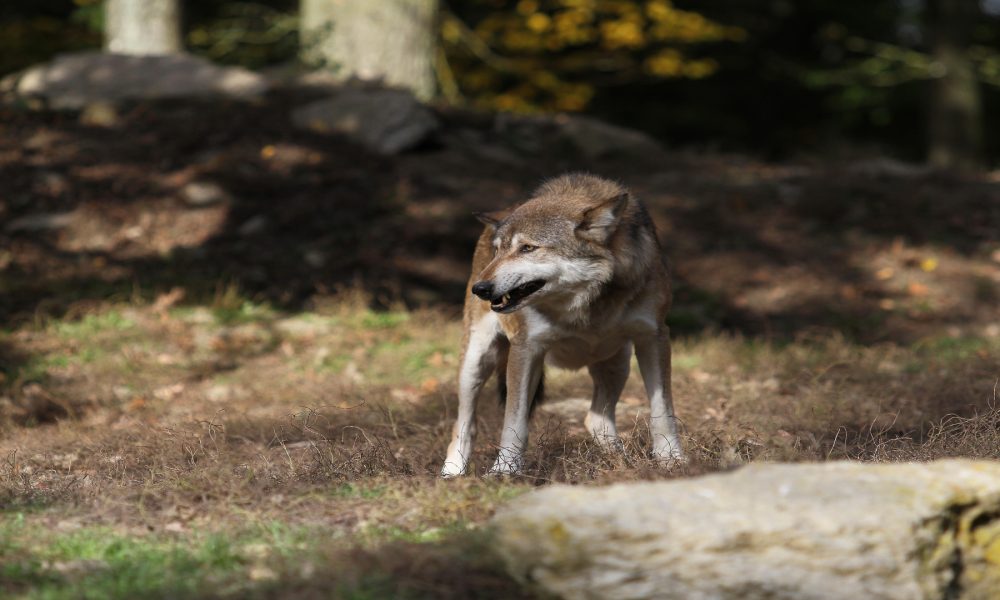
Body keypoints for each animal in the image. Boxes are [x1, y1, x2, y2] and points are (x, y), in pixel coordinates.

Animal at [440, 173, 684, 476]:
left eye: (528, 248)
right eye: (498, 251)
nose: (480, 289)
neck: (583, 304)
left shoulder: (654, 337)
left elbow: (662, 412)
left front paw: (672, 461)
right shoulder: (527, 348)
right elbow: (514, 423)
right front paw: (504, 471)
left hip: (617, 362)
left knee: (595, 419)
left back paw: (620, 462)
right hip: (476, 361)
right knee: (464, 424)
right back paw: (452, 474)